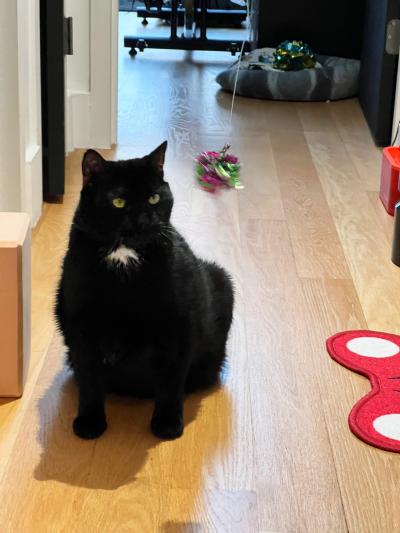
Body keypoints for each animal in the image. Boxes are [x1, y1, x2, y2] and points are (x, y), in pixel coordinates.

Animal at [54, 142, 233, 440]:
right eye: (118, 202)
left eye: (153, 198)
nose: (144, 220)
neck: (125, 256)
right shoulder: (81, 323)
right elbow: (90, 379)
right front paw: (90, 422)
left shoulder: (178, 324)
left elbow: (171, 380)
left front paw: (167, 424)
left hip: (222, 281)